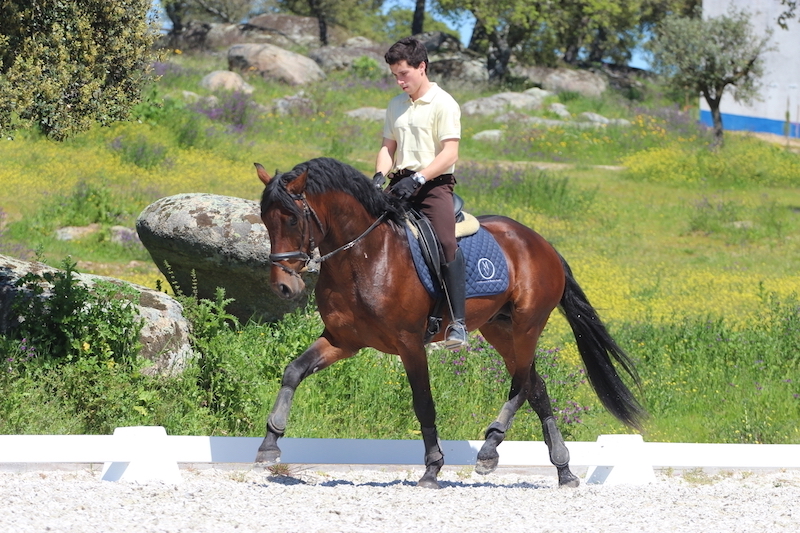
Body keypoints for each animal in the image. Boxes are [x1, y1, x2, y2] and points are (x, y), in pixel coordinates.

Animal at [255, 157, 644, 486]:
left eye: (292, 218)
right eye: (265, 219)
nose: (284, 287)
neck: (364, 255)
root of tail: (541, 243)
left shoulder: (409, 343)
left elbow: (423, 402)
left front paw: (432, 468)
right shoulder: (343, 340)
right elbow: (293, 371)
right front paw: (269, 443)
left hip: (528, 324)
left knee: (521, 385)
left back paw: (489, 449)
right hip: (499, 328)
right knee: (536, 386)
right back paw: (563, 470)